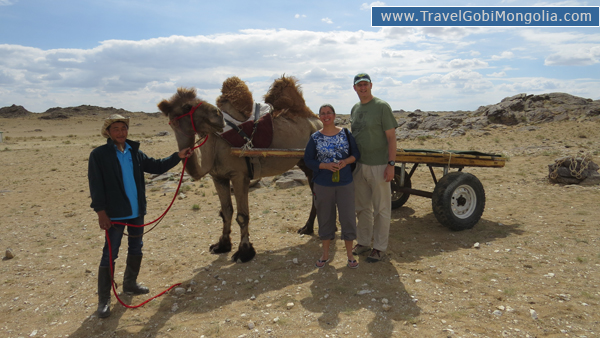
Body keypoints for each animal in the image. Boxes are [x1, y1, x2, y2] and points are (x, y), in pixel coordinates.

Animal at [157, 76, 322, 262]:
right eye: (187, 106)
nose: (217, 114)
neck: (214, 147)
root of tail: (317, 121)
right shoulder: (218, 177)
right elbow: (226, 211)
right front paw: (221, 245)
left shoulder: (239, 175)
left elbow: (242, 216)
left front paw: (244, 252)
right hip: (304, 163)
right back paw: (307, 228)